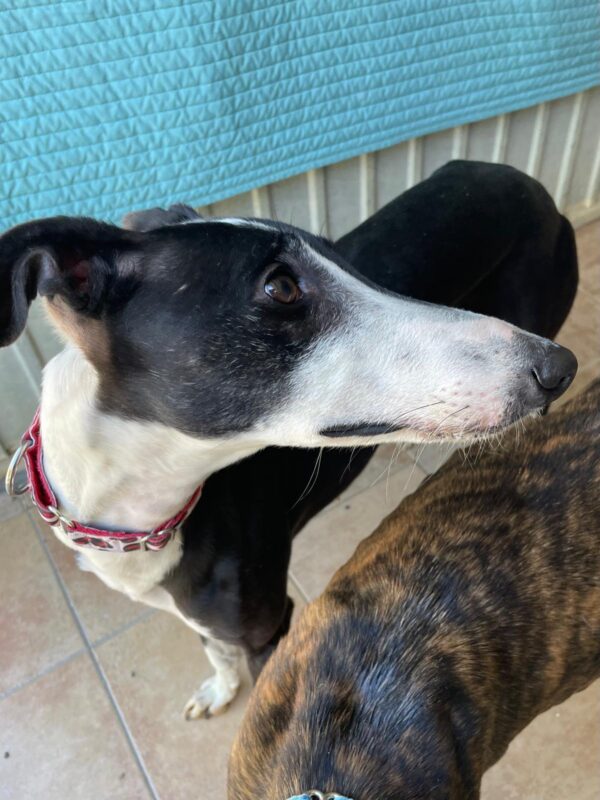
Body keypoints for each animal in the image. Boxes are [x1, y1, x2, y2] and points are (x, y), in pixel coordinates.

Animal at [2, 162, 576, 720]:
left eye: (341, 258)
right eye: (281, 287)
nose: (557, 368)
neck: (137, 513)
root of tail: (532, 185)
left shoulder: (269, 629)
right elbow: (215, 649)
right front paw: (220, 689)